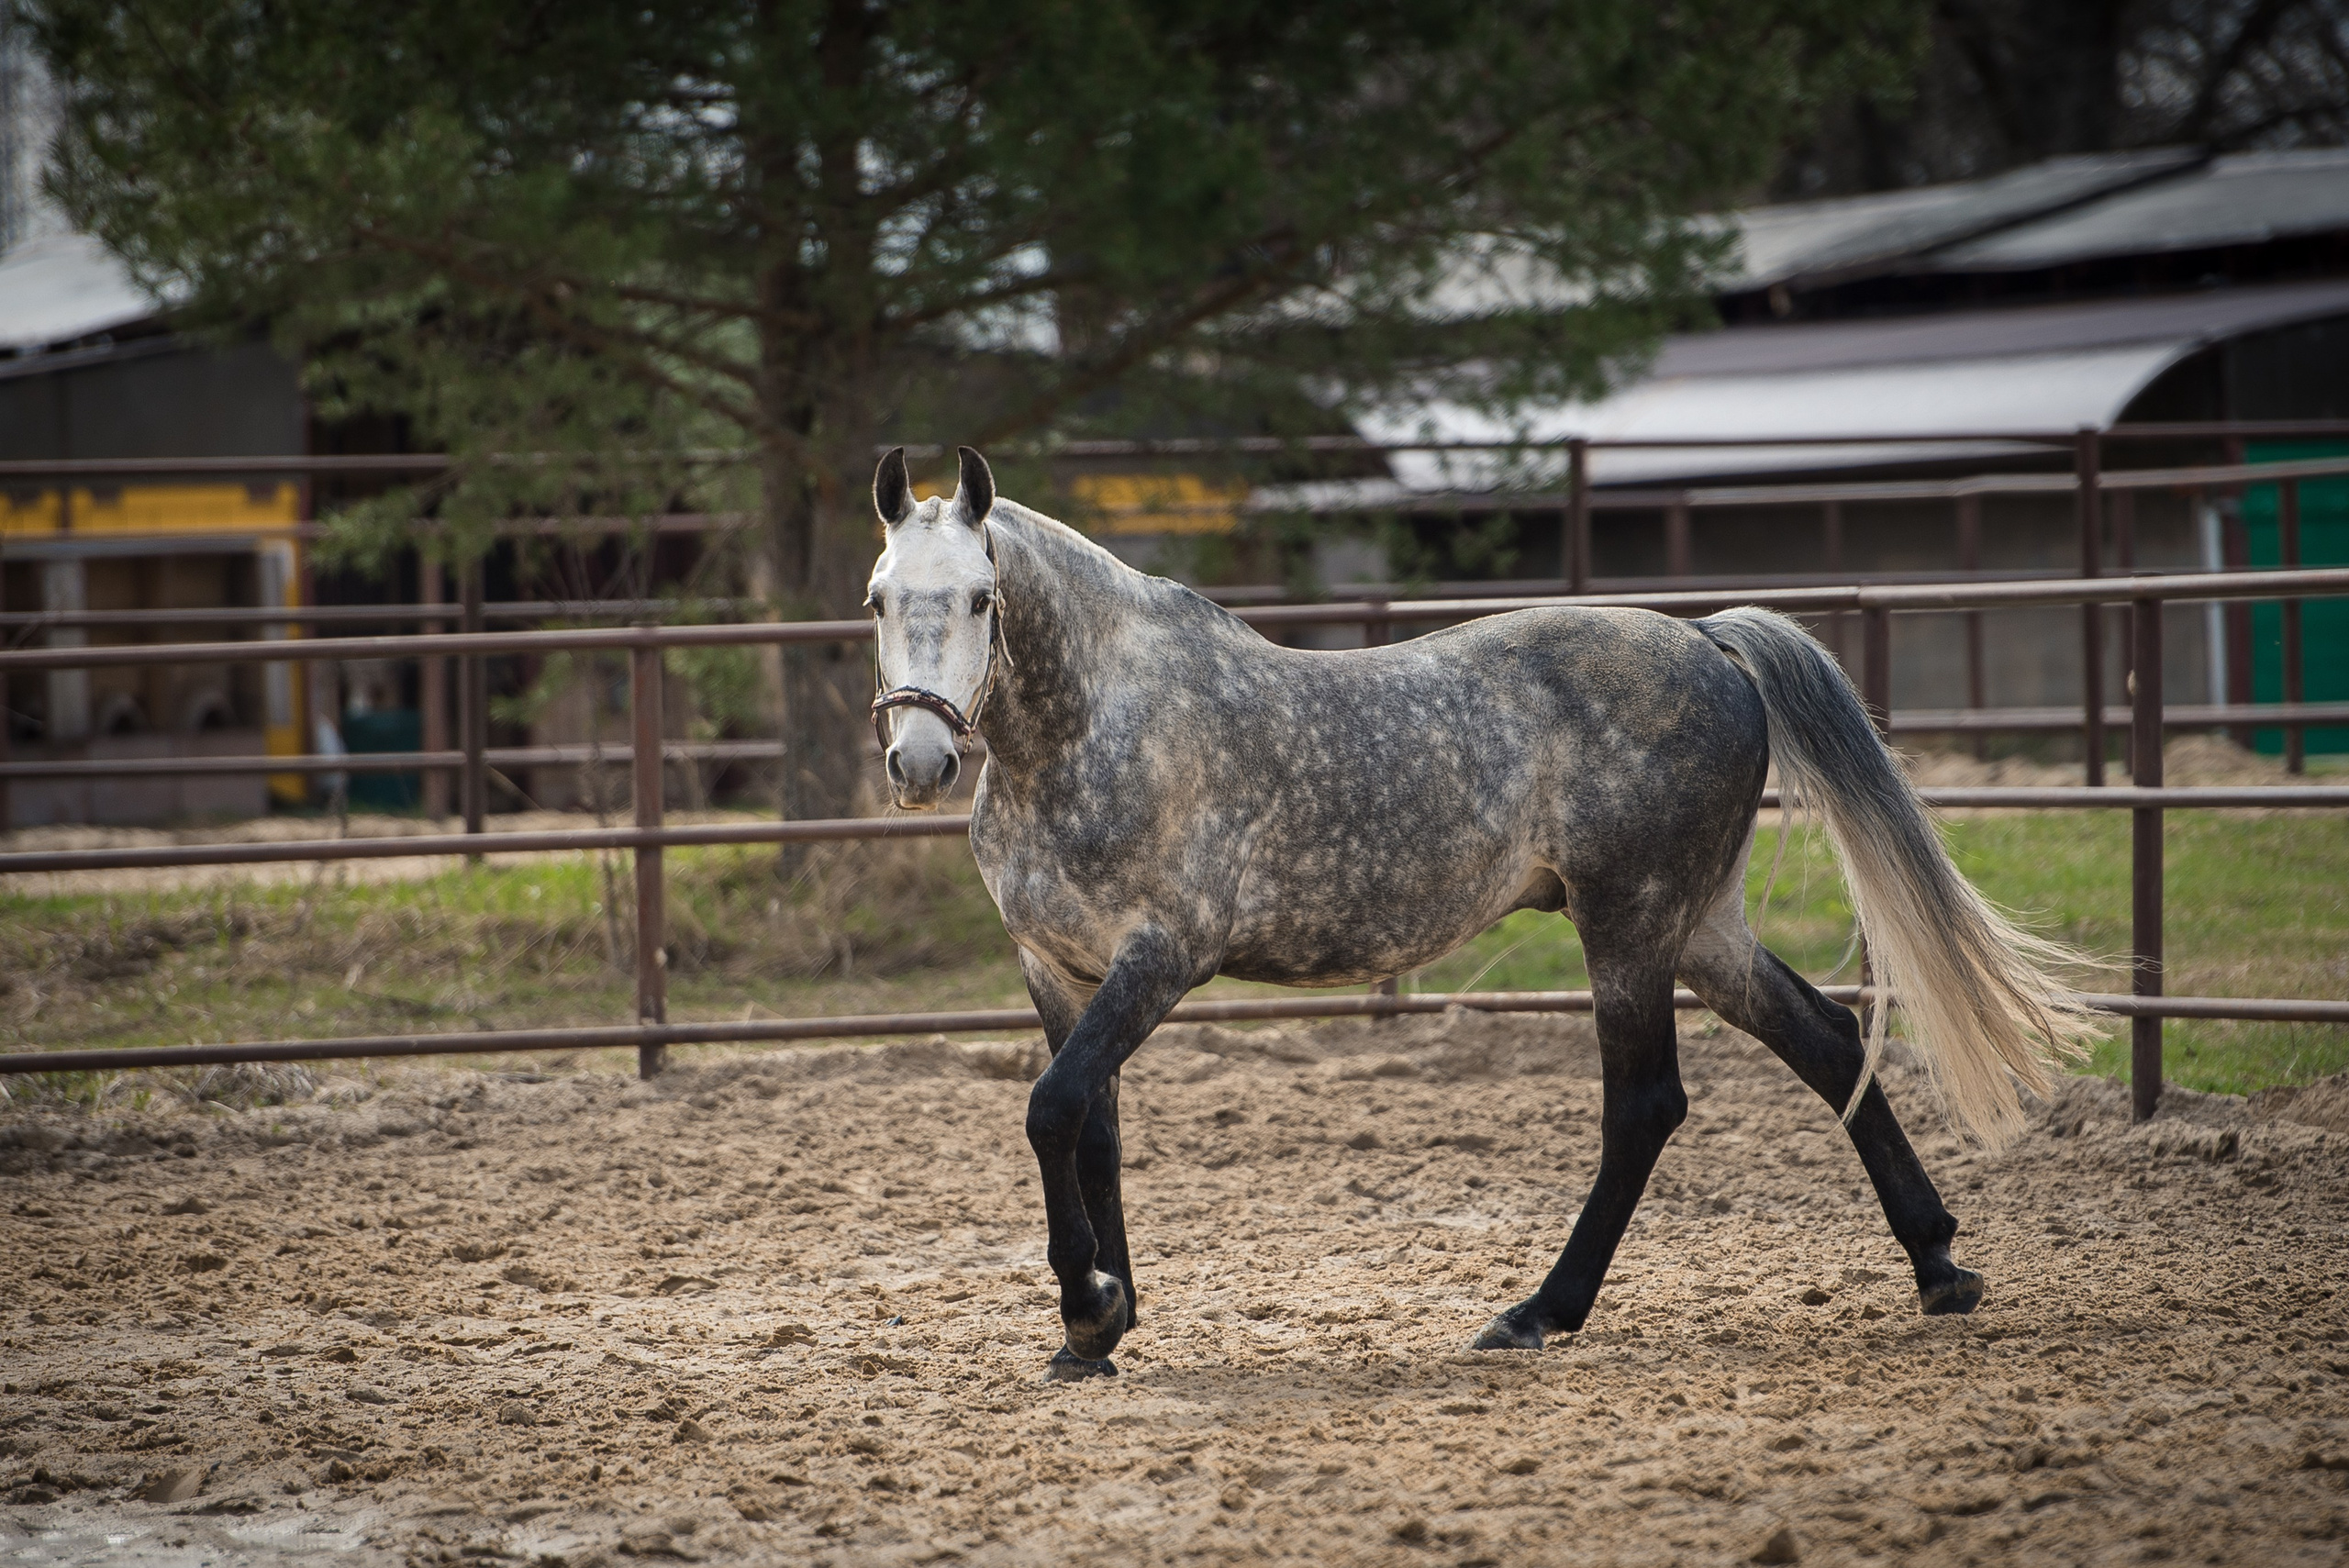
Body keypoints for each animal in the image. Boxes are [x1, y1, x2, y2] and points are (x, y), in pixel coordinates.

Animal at [865, 445, 2099, 1381]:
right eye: (878, 597)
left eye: (980, 598)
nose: (919, 759)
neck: (1094, 730)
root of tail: (1707, 638)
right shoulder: (1057, 966)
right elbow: (1094, 1129)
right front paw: (1102, 1327)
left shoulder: (1162, 956)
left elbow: (1051, 1108)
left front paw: (1090, 1310)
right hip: (1701, 926)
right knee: (1828, 1036)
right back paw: (1939, 1265)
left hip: (1628, 922)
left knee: (1646, 1104)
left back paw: (1535, 1312)